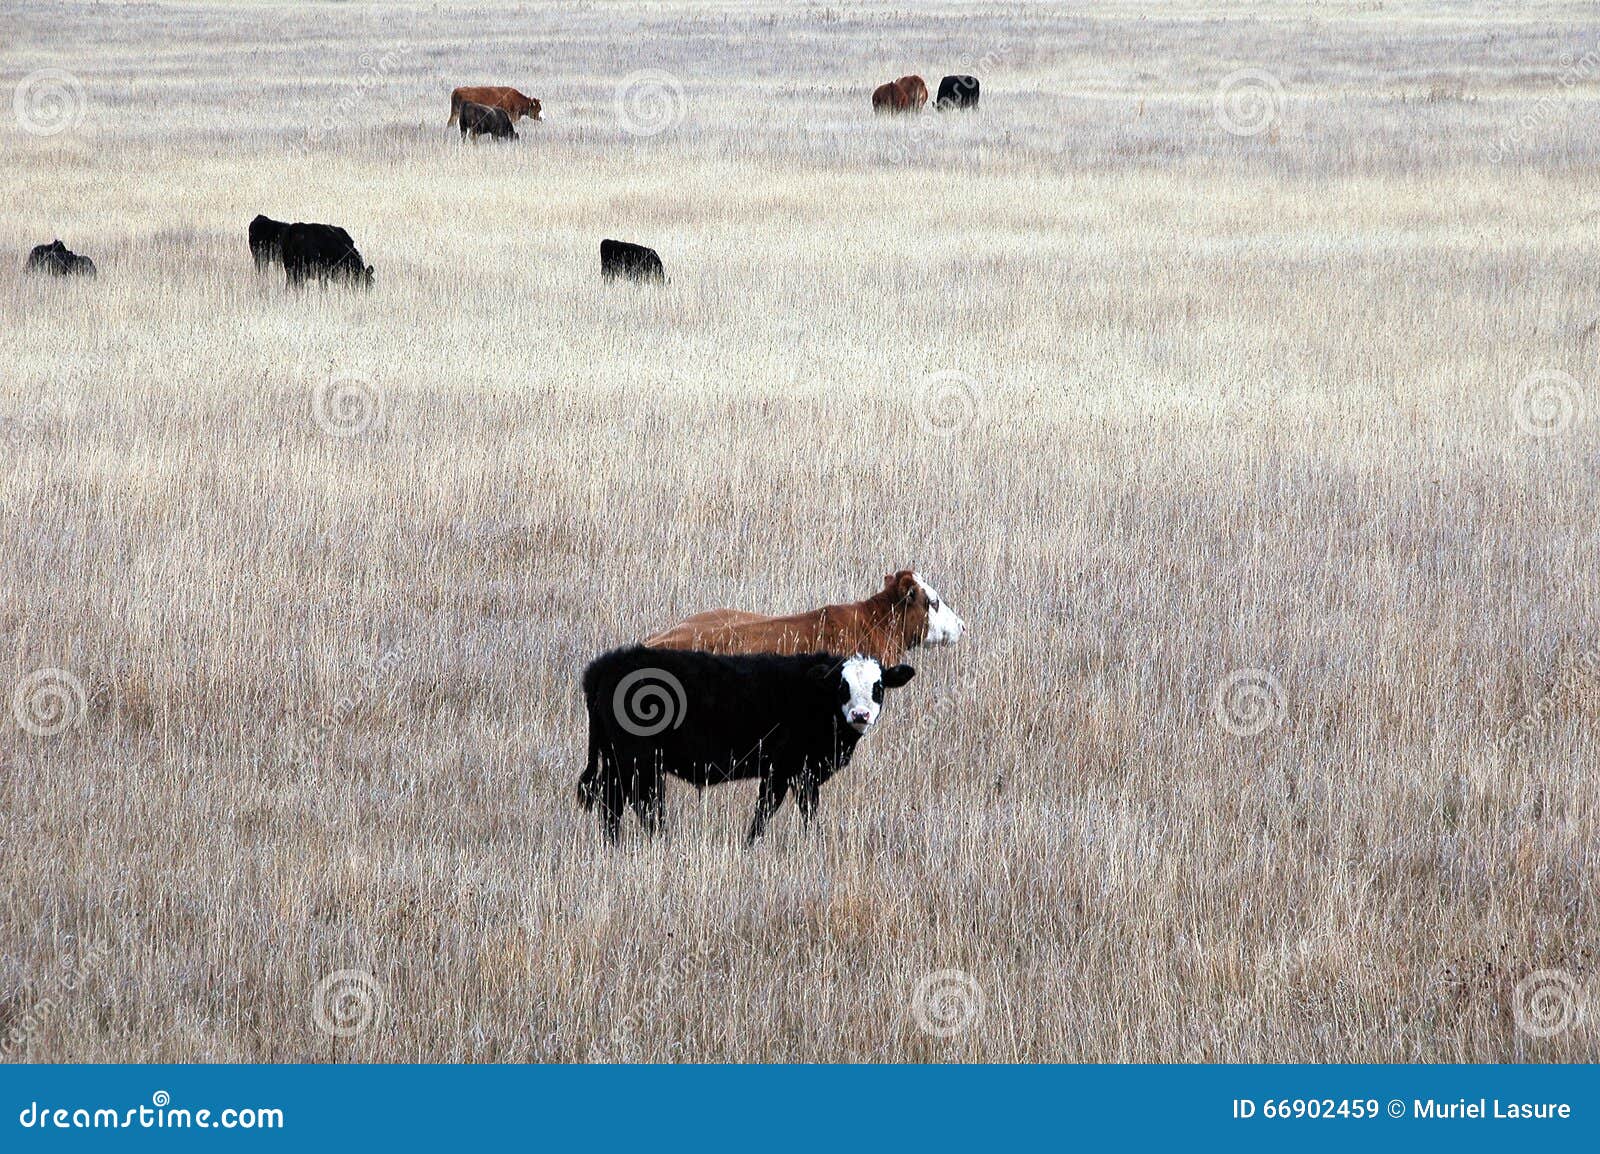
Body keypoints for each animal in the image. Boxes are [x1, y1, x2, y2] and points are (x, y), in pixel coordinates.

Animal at [579, 646, 916, 843]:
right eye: (842, 686)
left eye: (878, 686)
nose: (860, 714)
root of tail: (606, 665)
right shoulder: (785, 769)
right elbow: (769, 808)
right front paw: (751, 844)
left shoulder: (802, 772)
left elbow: (803, 809)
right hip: (637, 759)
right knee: (640, 802)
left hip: (618, 759)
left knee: (613, 800)